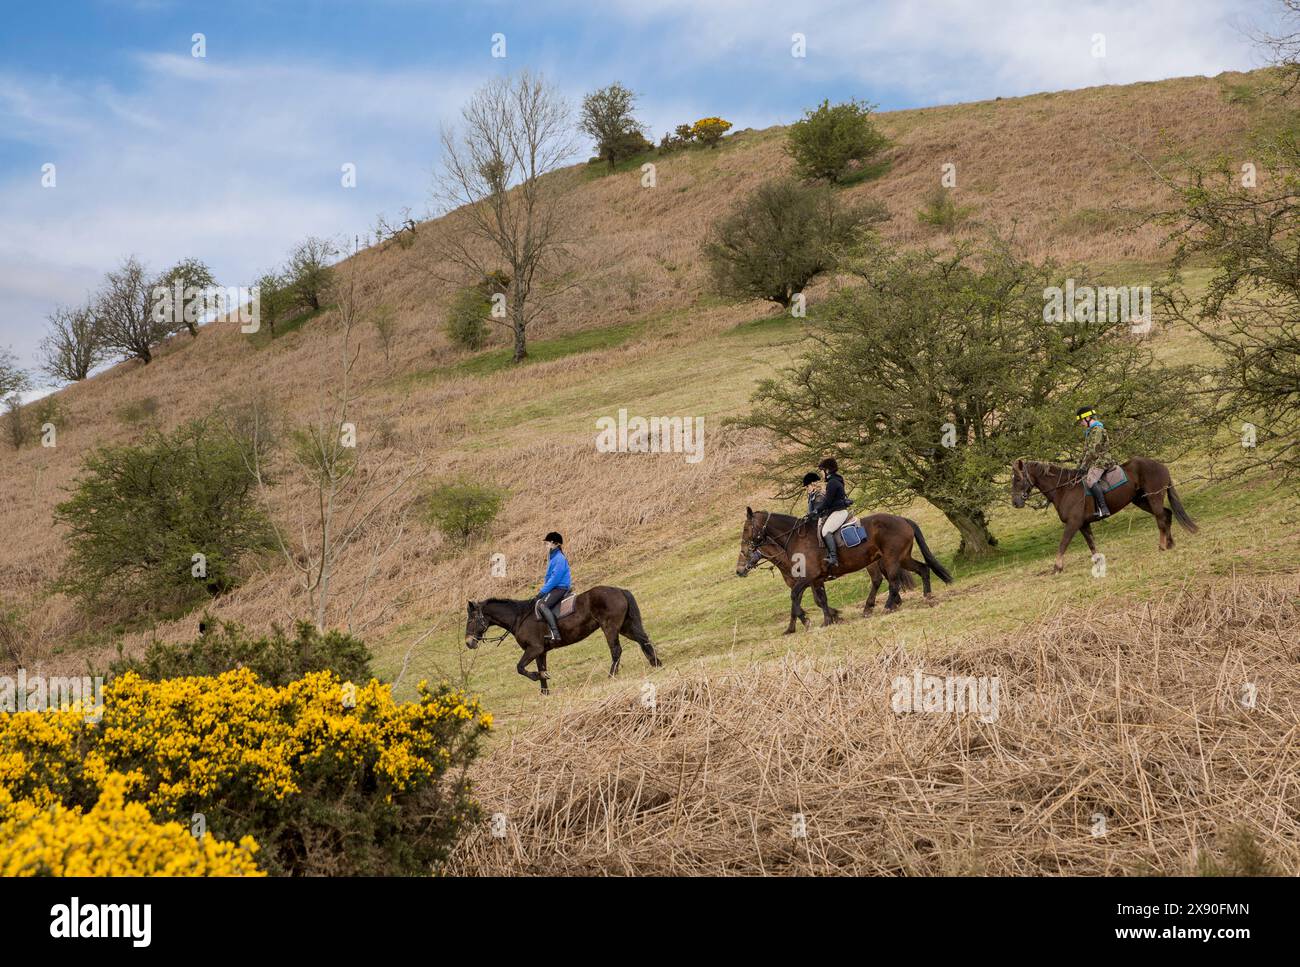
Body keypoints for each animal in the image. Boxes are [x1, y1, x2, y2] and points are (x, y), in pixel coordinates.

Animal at [465, 584, 660, 691]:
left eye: (471, 619)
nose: (468, 642)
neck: (519, 617)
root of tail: (619, 590)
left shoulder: (534, 649)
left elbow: (520, 667)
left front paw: (536, 677)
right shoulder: (540, 651)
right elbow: (541, 669)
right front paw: (544, 692)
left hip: (610, 627)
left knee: (616, 650)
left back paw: (612, 675)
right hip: (625, 627)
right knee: (643, 640)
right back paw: (656, 663)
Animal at [733, 506, 956, 634]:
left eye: (746, 528)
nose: (739, 570)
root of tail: (902, 519)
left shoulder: (809, 577)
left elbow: (796, 597)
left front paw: (806, 622)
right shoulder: (815, 579)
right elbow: (819, 599)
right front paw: (827, 620)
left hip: (891, 559)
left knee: (892, 582)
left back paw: (885, 607)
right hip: (902, 558)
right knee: (922, 569)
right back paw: (926, 596)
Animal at [1013, 457, 1196, 569]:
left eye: (1018, 479)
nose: (1015, 502)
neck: (1064, 489)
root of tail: (1160, 465)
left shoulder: (1073, 523)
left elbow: (1063, 543)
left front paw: (1057, 567)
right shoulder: (1083, 524)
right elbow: (1092, 544)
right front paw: (1098, 562)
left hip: (1153, 498)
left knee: (1160, 519)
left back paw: (1162, 546)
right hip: (1141, 500)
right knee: (1167, 514)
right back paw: (1170, 544)